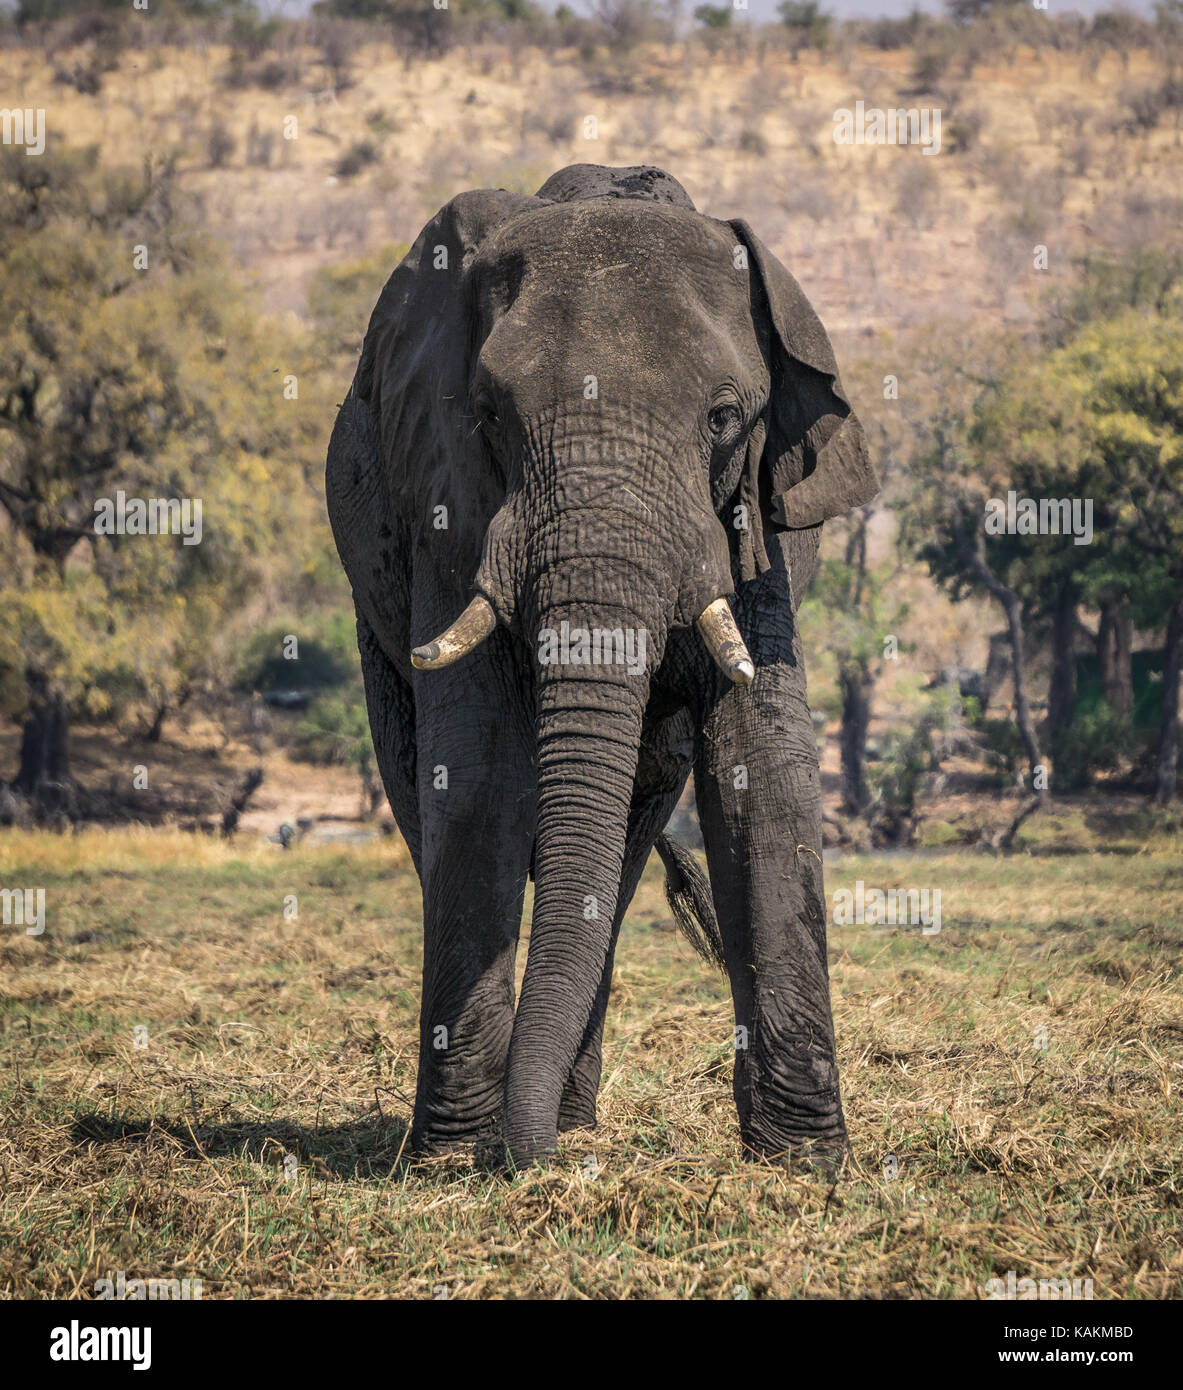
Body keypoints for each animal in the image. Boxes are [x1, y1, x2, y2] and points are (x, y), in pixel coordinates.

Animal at [326, 163, 878, 1172]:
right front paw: (453, 1163)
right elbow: (474, 771)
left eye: (724, 418)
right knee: (423, 790)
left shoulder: (752, 533)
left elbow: (762, 768)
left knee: (620, 844)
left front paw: (808, 1166)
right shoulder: (448, 504)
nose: (528, 1158)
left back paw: (574, 1119)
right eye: (489, 416)